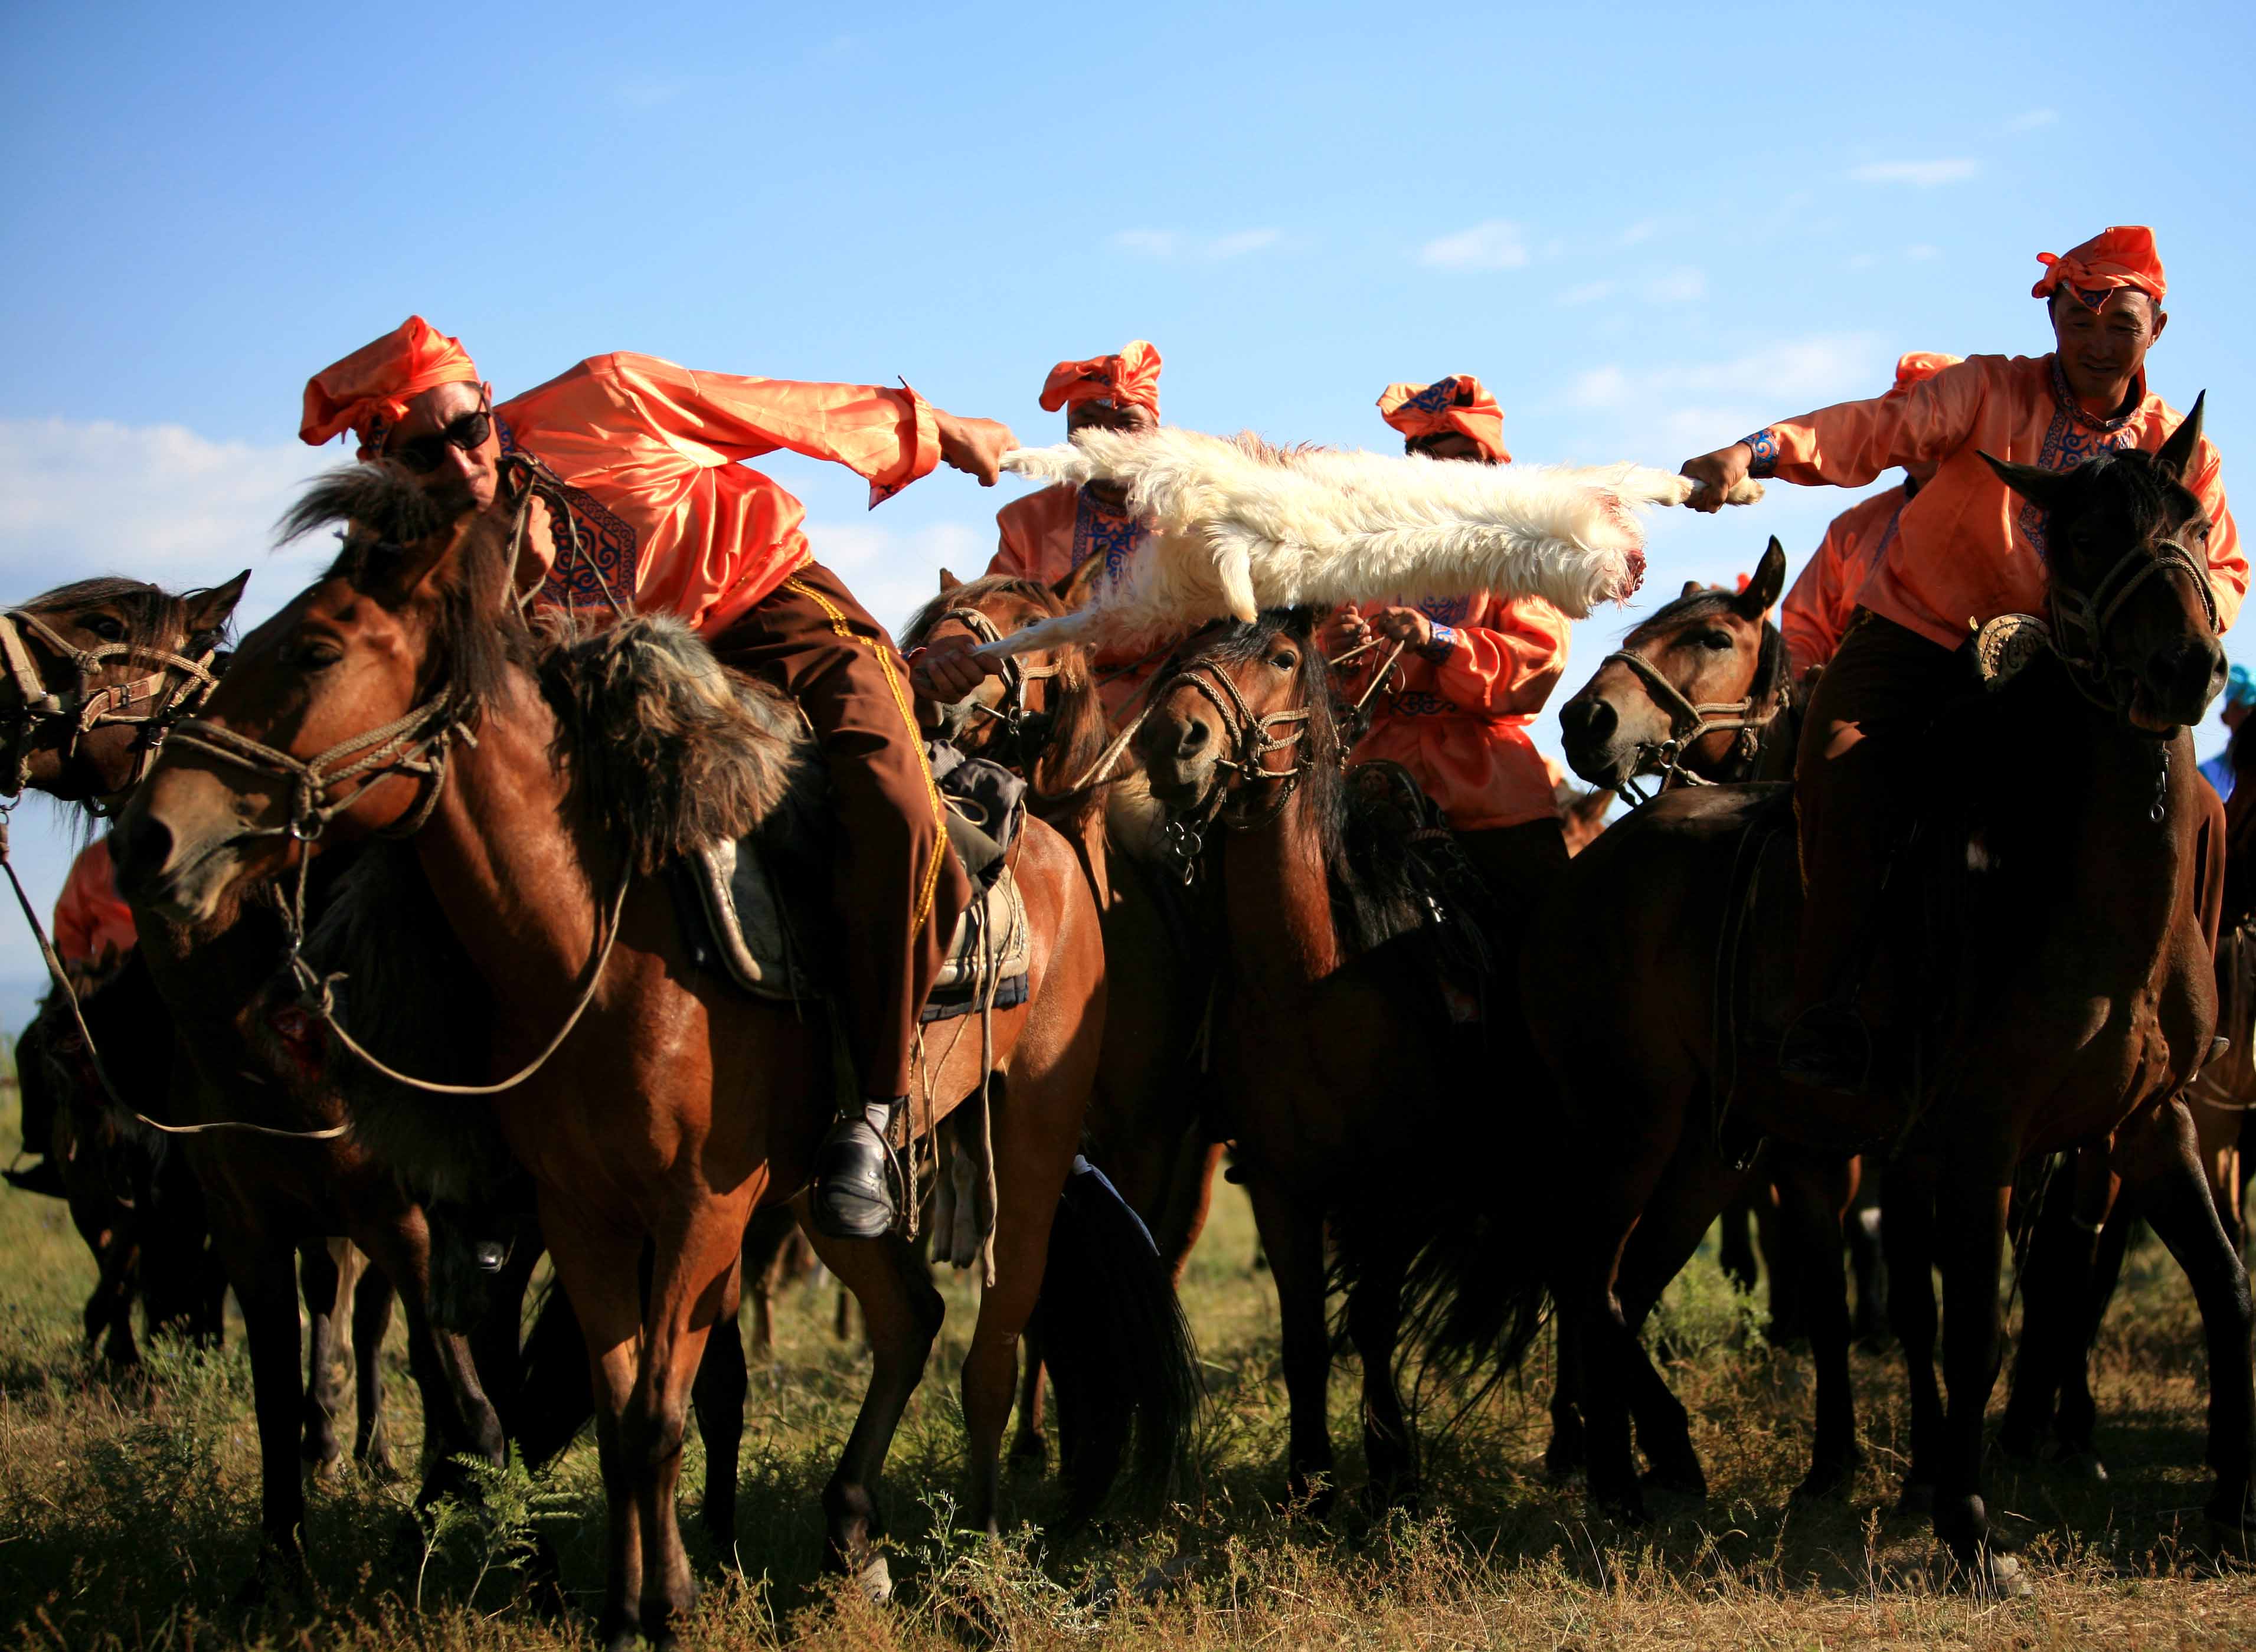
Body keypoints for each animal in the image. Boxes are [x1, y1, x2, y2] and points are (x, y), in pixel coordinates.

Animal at [114, 467, 1191, 1652]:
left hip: (1027, 1145)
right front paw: (630, 1606)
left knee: (995, 1342)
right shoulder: (583, 1211)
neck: (595, 936)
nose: (148, 836)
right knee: (908, 1312)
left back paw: (982, 1544)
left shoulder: (699, 1208)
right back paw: (852, 1534)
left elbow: (658, 1411)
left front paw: (666, 1602)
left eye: (315, 650)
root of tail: (1048, 844)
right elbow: (619, 1405)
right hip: (818, 1193)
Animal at [1525, 413, 2247, 1588]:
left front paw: (2229, 1513)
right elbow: (1955, 1325)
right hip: (1631, 1123)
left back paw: (1639, 1468)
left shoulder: (2146, 1125)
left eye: (2189, 524)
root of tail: (1582, 872)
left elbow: (2224, 1287)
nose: (1587, 720)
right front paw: (1961, 1522)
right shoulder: (1966, 1141)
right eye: (2083, 536)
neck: (2069, 875)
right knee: (1587, 1275)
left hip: (1703, 1151)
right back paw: (1626, 1474)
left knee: (1620, 1286)